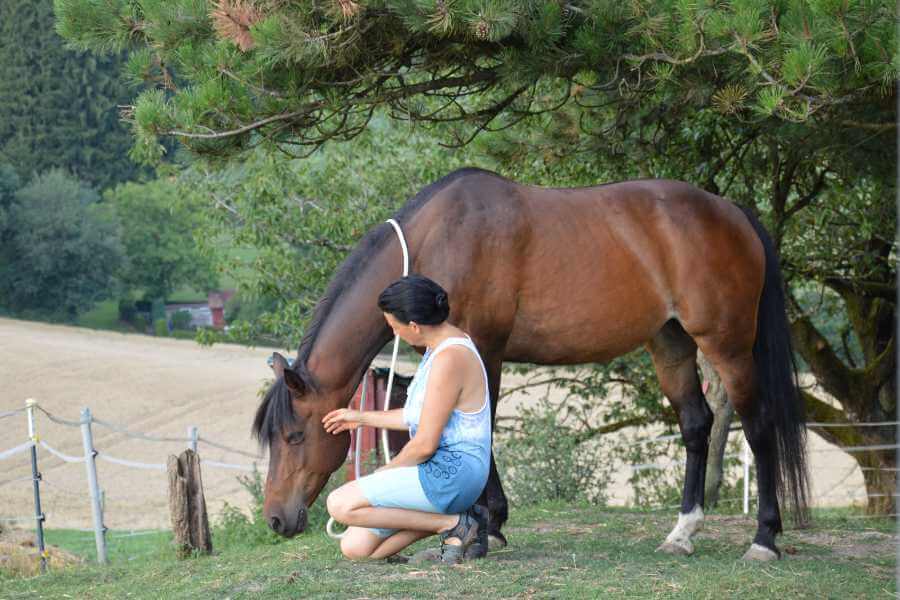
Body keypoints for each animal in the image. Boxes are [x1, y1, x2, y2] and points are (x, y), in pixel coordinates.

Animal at [251, 166, 808, 560]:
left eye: (294, 436)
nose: (276, 519)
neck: (441, 239)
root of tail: (731, 211)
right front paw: (490, 526)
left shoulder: (483, 349)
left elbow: (486, 430)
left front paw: (480, 531)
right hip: (669, 342)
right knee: (696, 424)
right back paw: (682, 532)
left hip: (726, 344)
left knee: (758, 426)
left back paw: (764, 539)